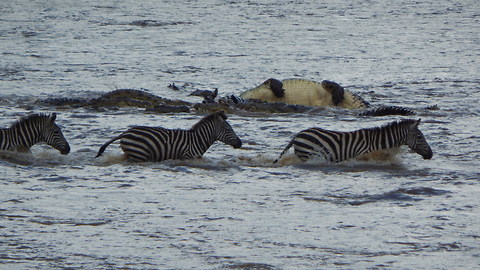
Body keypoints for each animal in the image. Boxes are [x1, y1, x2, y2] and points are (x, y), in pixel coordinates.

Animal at [95, 110, 242, 161]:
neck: (197, 140)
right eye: (228, 129)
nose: (240, 143)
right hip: (139, 154)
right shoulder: (187, 157)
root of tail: (125, 132)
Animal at [274, 119, 436, 163]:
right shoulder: (363, 156)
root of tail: (299, 134)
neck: (378, 142)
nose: (431, 154)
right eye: (420, 137)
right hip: (307, 154)